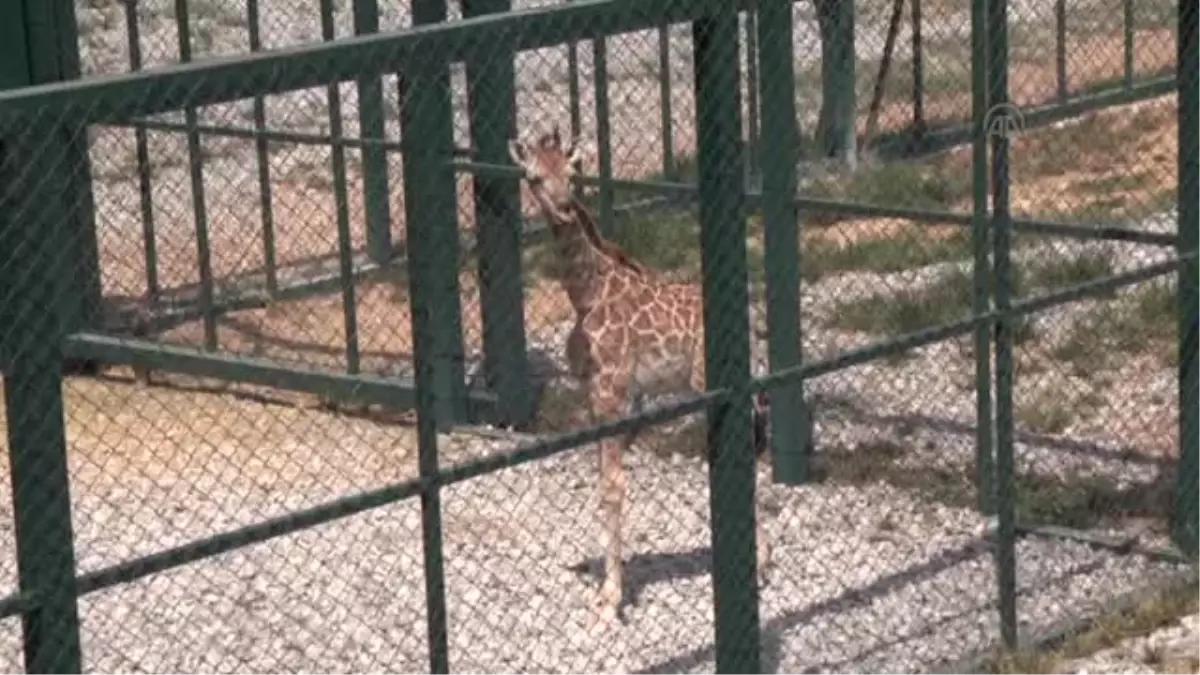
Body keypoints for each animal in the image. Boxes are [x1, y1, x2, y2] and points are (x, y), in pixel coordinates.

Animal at [508, 124, 777, 624]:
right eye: (533, 177)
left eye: (573, 172)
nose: (564, 207)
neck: (586, 293)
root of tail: (753, 321)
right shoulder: (599, 396)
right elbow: (603, 480)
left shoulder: (611, 392)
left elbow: (612, 487)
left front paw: (612, 595)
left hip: (711, 385)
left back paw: (759, 561)